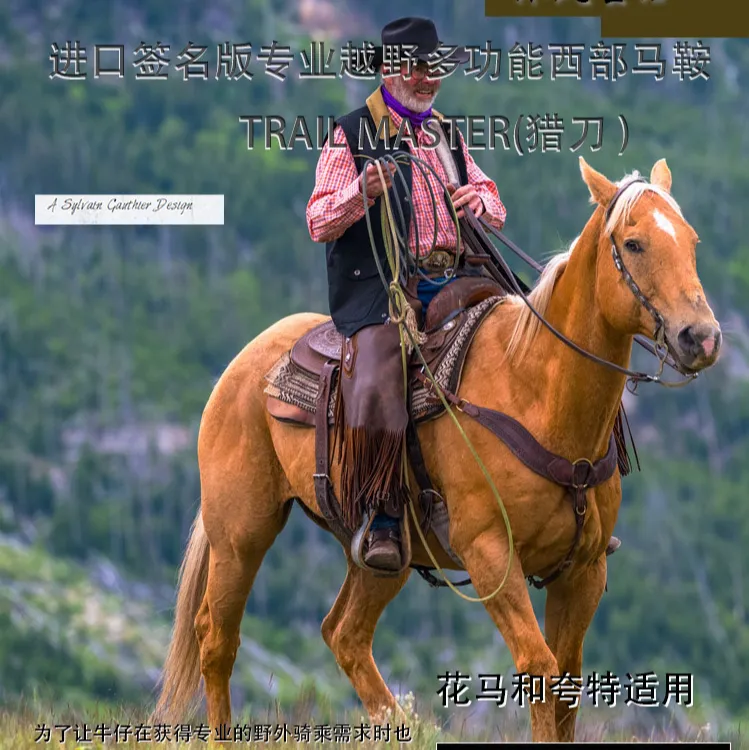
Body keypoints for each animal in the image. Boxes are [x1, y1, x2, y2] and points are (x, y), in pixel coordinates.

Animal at [151, 157, 722, 742]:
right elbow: (539, 668)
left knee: (344, 634)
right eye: (633, 243)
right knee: (217, 638)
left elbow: (566, 682)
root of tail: (242, 366)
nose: (701, 337)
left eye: (692, 241)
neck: (536, 393)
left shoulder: (583, 569)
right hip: (241, 532)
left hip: (381, 553)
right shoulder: (490, 554)